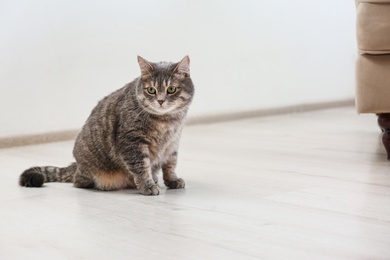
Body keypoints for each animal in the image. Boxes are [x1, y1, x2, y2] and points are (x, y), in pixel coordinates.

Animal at [18, 56, 195, 195]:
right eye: (151, 90)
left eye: (171, 89)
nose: (160, 101)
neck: (167, 121)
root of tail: (77, 165)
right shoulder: (132, 142)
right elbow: (141, 167)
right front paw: (147, 185)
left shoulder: (173, 143)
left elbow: (170, 165)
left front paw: (172, 180)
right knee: (77, 181)